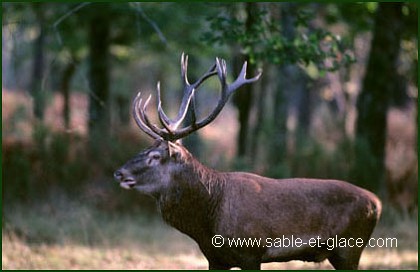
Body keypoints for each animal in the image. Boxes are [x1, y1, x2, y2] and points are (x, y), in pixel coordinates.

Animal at [114, 53, 380, 270]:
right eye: (144, 149)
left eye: (155, 157)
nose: (119, 172)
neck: (208, 222)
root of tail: (377, 203)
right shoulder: (215, 258)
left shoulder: (251, 252)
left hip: (349, 248)